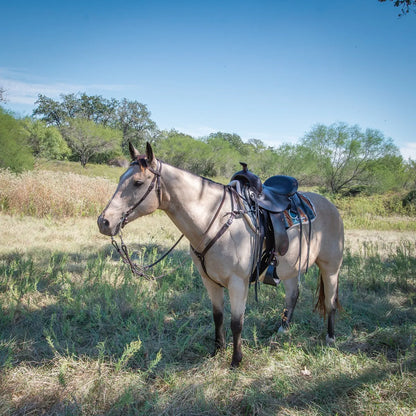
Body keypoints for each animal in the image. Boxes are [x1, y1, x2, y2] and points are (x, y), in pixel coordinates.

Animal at [97, 143, 344, 368]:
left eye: (138, 183)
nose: (104, 222)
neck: (214, 222)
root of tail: (330, 205)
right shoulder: (210, 281)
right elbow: (218, 317)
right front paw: (217, 350)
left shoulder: (238, 283)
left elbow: (237, 323)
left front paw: (236, 360)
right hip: (291, 269)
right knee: (293, 296)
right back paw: (282, 330)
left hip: (330, 267)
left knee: (330, 301)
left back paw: (330, 338)